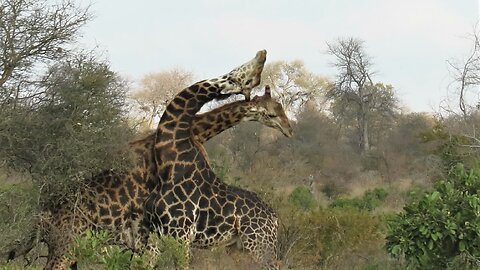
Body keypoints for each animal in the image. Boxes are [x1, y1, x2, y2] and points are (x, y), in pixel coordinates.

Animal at [6, 86, 292, 268]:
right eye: (271, 112)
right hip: (67, 245)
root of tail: (42, 214)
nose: (289, 129)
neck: (195, 133)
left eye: (281, 108)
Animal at [142, 50, 282, 268]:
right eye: (242, 77)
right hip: (237, 248)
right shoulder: (155, 233)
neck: (169, 163)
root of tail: (275, 219)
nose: (262, 53)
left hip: (259, 246)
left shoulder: (181, 234)